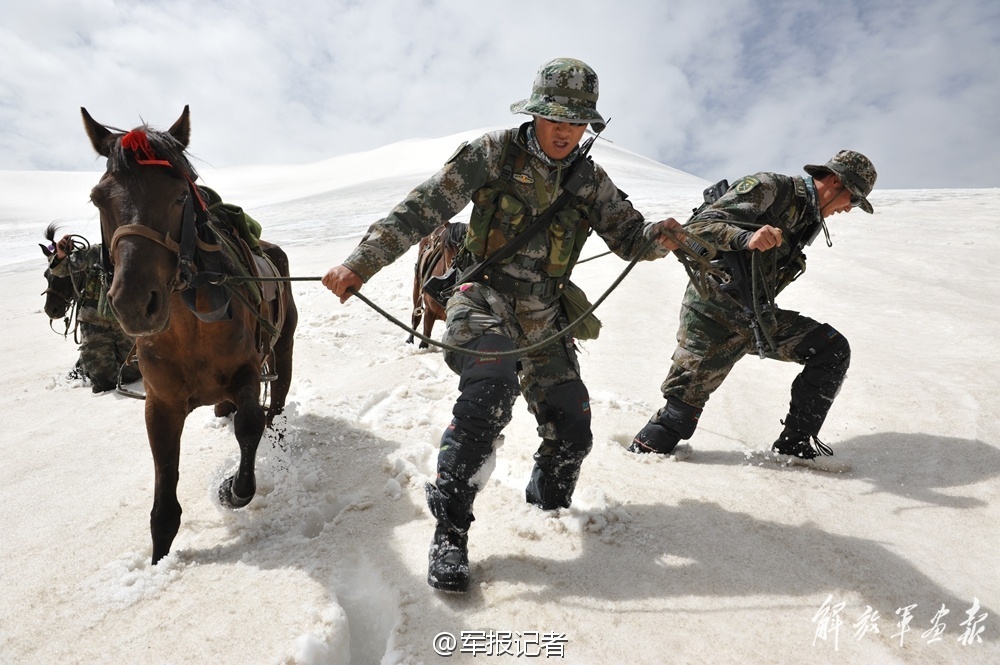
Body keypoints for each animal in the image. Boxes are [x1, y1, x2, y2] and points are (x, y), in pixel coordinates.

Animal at [80, 106, 298, 564]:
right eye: (98, 198)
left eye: (180, 195)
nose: (133, 302)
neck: (188, 331)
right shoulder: (161, 404)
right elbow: (165, 487)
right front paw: (159, 557)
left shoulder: (247, 372)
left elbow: (250, 424)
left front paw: (233, 490)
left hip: (283, 346)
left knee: (276, 401)